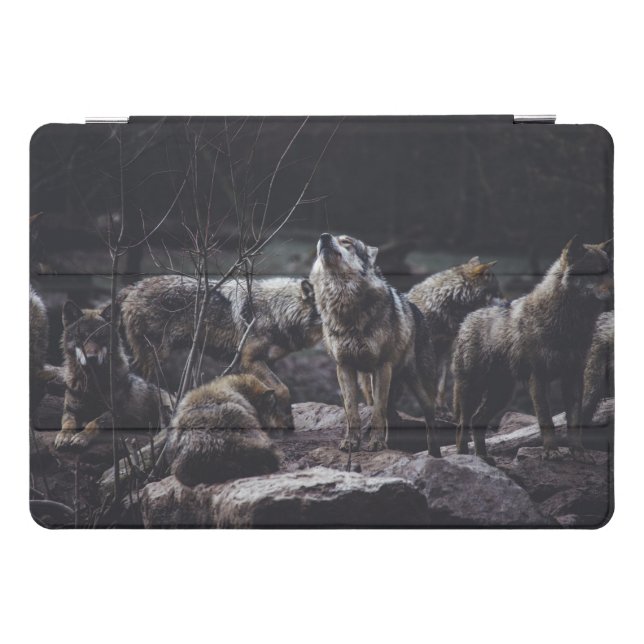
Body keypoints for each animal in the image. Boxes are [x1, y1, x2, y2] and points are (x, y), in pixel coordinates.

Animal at [54, 301, 172, 450]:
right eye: (82, 337)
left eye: (101, 337)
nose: (91, 358)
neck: (92, 384)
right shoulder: (70, 409)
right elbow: (68, 423)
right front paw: (64, 436)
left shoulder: (116, 412)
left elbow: (94, 422)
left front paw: (81, 437)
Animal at [118, 275, 322, 407]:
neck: (277, 310)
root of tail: (132, 287)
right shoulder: (249, 360)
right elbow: (283, 389)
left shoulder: (266, 362)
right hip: (156, 357)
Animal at [309, 233, 439, 455]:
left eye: (347, 242)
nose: (324, 237)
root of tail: (417, 310)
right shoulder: (344, 367)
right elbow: (352, 412)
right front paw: (351, 443)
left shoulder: (382, 366)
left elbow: (378, 412)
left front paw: (376, 444)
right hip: (369, 384)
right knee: (391, 415)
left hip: (419, 389)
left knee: (429, 419)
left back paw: (434, 455)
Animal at [452, 237, 612, 462]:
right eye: (594, 272)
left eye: (610, 271)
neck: (568, 324)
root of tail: (467, 319)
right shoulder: (537, 378)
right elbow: (546, 420)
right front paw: (551, 452)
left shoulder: (573, 377)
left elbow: (574, 421)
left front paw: (579, 452)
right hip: (472, 391)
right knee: (462, 425)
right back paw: (464, 457)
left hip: (501, 394)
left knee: (477, 420)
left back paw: (483, 457)